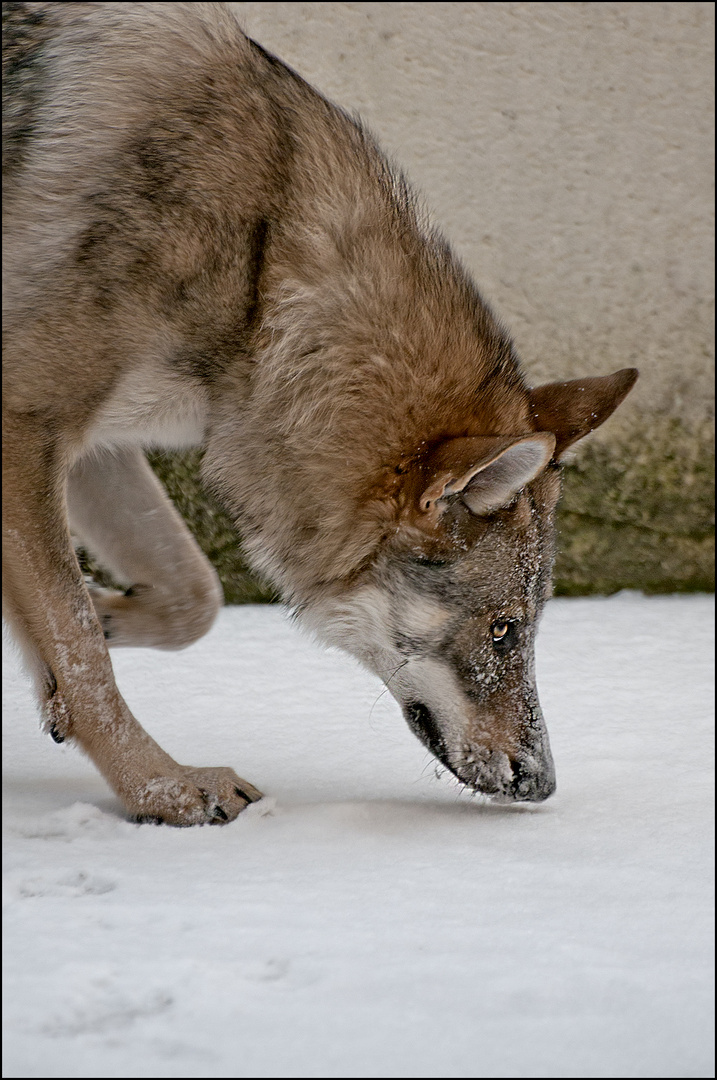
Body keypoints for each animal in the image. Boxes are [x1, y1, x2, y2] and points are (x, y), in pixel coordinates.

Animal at [2, 2, 634, 825]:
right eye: (505, 630)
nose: (542, 783)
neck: (262, 269)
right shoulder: (26, 427)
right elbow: (81, 653)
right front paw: (166, 791)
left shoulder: (92, 448)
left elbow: (190, 597)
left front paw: (105, 616)